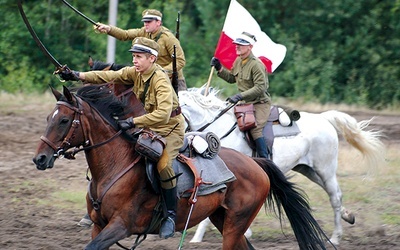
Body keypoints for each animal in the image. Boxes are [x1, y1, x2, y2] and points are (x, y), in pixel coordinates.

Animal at [32, 85, 332, 249]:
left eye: (64, 120)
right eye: (48, 118)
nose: (40, 159)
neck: (114, 169)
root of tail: (255, 163)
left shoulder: (120, 226)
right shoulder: (99, 226)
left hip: (236, 224)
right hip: (223, 219)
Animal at [179, 87, 384, 245]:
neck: (219, 129)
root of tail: (324, 119)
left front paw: (197, 238)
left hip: (325, 170)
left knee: (334, 197)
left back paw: (335, 237)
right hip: (309, 170)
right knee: (337, 196)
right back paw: (347, 216)